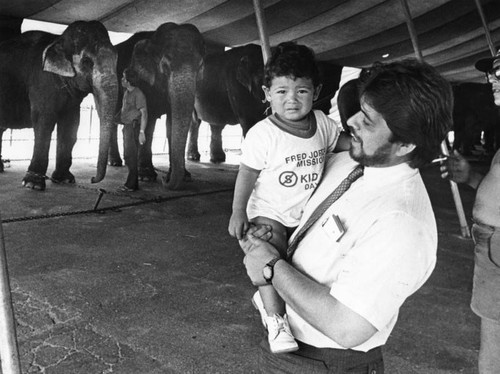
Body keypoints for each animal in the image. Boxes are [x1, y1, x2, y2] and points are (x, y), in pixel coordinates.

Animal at [0, 20, 118, 190]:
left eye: (116, 59)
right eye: (87, 62)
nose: (92, 179)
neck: (58, 39)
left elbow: (71, 124)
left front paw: (64, 179)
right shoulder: (41, 81)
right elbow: (44, 121)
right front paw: (33, 184)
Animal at [108, 23, 204, 190]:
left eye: (200, 67)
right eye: (164, 67)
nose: (165, 179)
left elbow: (171, 125)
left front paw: (185, 176)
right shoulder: (143, 83)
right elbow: (148, 121)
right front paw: (146, 176)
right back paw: (115, 162)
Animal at [186, 45, 342, 162]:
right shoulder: (236, 86)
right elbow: (250, 123)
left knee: (216, 125)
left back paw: (217, 159)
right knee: (195, 121)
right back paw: (194, 157)